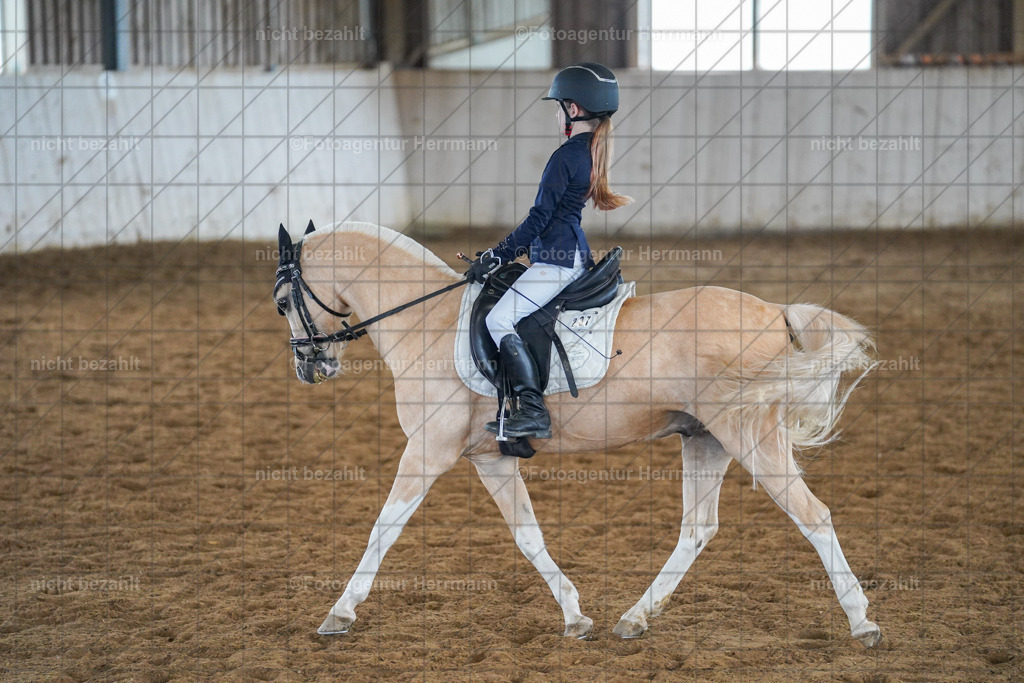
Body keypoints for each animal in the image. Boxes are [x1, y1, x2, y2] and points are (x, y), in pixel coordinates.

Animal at [272, 220, 882, 648]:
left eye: (282, 303)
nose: (308, 368)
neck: (428, 322)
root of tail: (774, 310)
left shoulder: (427, 452)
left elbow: (384, 527)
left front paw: (338, 614)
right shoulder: (490, 458)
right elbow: (528, 536)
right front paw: (574, 616)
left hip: (748, 434)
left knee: (812, 515)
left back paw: (862, 623)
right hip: (706, 438)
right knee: (698, 529)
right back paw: (634, 619)